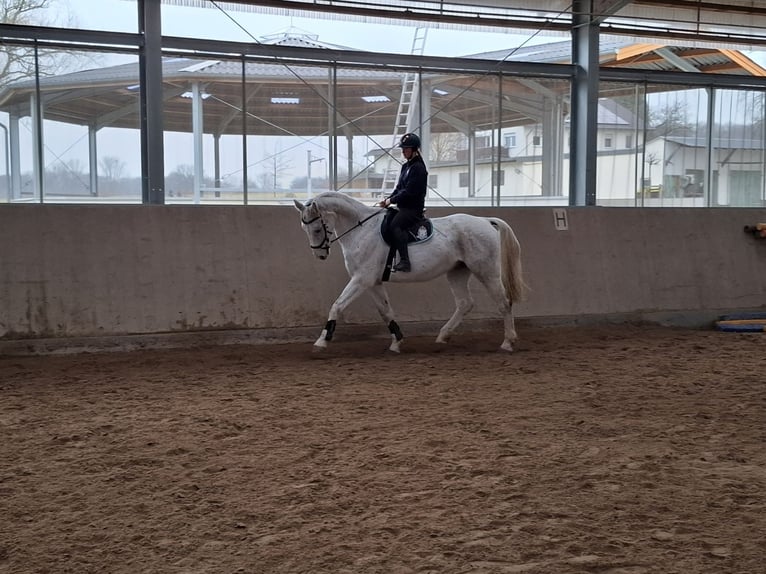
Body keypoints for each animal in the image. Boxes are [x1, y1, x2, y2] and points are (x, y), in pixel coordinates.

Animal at [294, 194, 528, 354]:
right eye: (304, 229)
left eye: (317, 229)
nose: (320, 255)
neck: (361, 230)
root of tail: (485, 221)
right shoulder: (373, 282)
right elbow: (385, 311)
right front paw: (397, 342)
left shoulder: (361, 280)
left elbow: (337, 305)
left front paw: (321, 341)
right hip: (457, 272)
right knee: (465, 303)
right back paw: (443, 336)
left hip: (486, 271)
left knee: (503, 303)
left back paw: (508, 342)